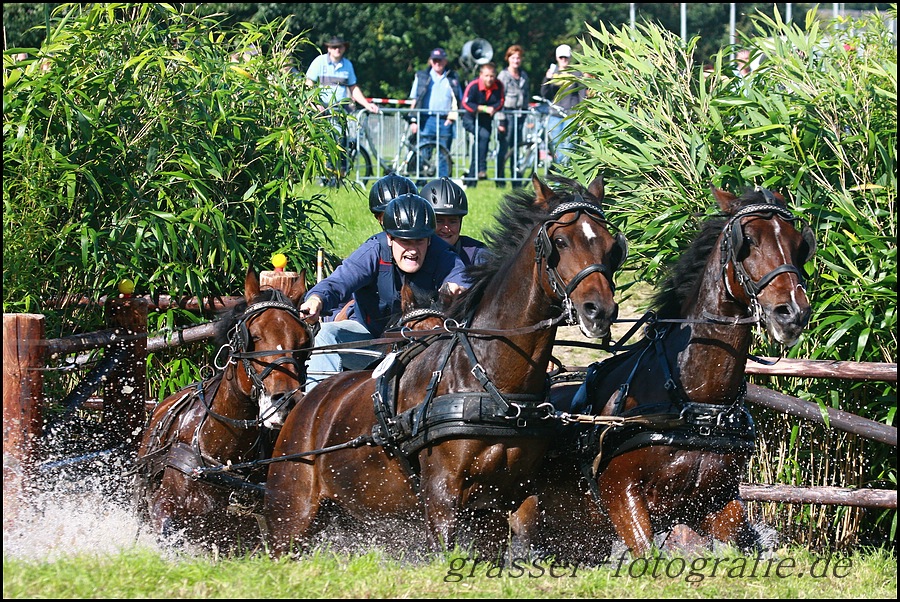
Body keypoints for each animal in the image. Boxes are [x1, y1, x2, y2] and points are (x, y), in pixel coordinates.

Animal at [260, 173, 624, 556]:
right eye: (560, 242)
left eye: (611, 246)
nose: (599, 310)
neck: (488, 380)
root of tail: (306, 405)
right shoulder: (441, 497)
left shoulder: (517, 495)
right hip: (290, 517)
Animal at [512, 186, 816, 556]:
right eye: (748, 241)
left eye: (799, 243)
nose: (793, 312)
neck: (695, 402)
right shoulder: (622, 494)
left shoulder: (720, 501)